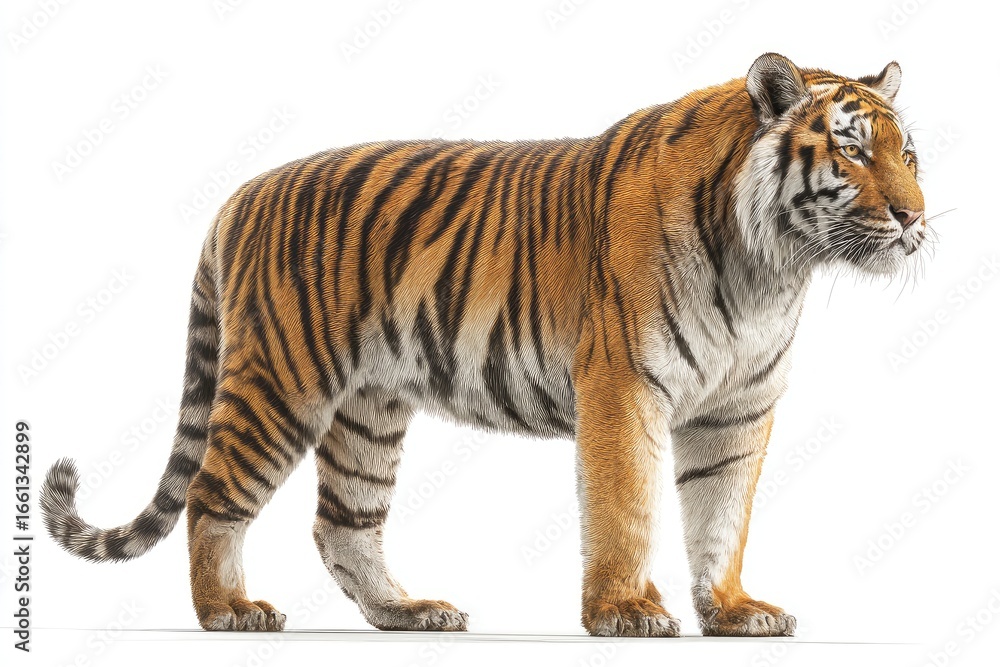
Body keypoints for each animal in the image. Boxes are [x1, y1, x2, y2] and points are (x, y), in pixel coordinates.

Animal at [40, 53, 927, 637]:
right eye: (852, 149)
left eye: (908, 152)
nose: (916, 215)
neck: (771, 268)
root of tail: (242, 193)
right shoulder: (624, 386)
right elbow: (626, 506)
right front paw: (624, 610)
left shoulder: (738, 410)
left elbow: (722, 512)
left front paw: (734, 610)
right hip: (281, 384)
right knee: (212, 493)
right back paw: (228, 609)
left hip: (368, 409)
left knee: (342, 524)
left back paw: (408, 610)